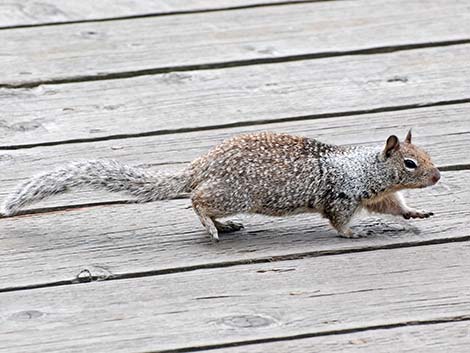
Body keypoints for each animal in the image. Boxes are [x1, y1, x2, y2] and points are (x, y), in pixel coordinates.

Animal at [1, 129, 438, 239]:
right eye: (411, 163)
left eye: (426, 156)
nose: (438, 176)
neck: (365, 168)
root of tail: (199, 168)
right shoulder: (343, 196)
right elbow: (340, 221)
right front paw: (354, 233)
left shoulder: (378, 196)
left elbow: (394, 207)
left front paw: (415, 212)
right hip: (233, 194)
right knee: (197, 200)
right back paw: (212, 225)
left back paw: (223, 226)